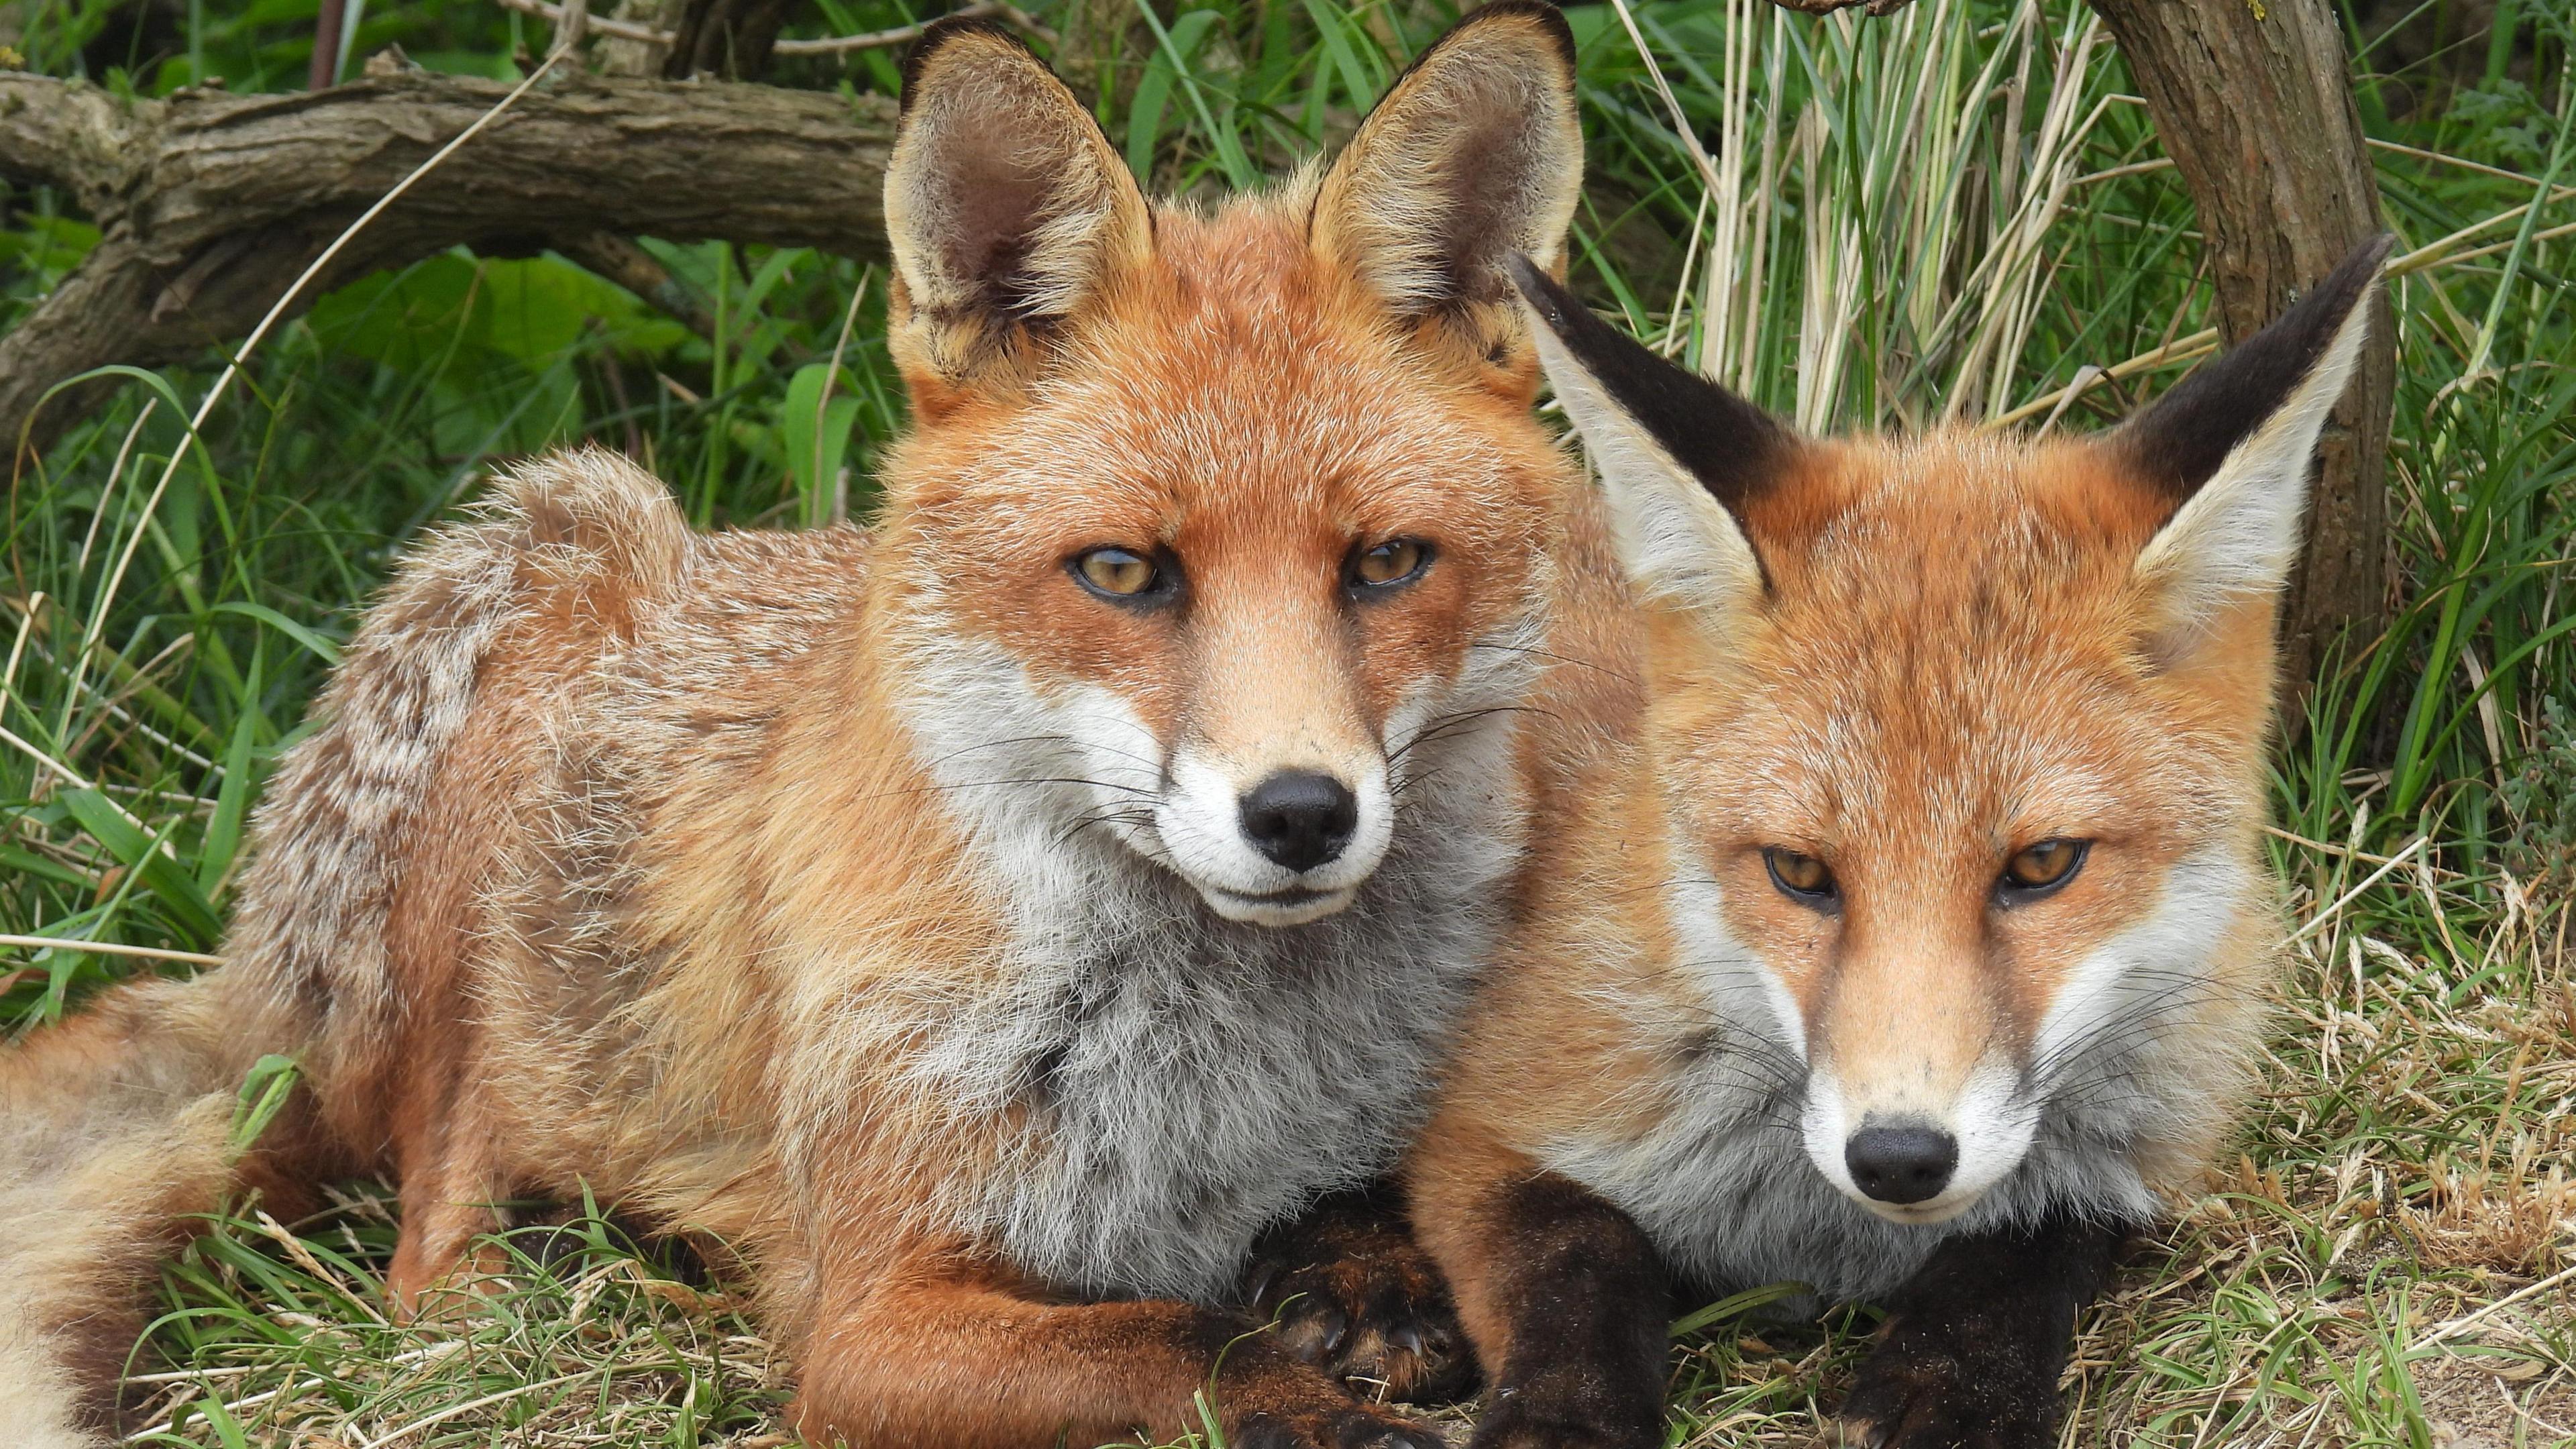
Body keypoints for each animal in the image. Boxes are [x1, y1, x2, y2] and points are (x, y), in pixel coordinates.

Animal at [0, 5, 1607, 1433]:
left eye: (1386, 564)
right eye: (1122, 573)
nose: (1299, 815)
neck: (1229, 1057)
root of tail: (248, 968)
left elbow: (1349, 1233)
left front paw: (1360, 1287)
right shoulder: (874, 1320)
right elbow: (1179, 1340)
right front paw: (1323, 1399)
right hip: (554, 572)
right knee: (430, 1233)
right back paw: (598, 1277)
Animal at [1262, 230, 2390, 1433]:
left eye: (2043, 864)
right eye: (1800, 871)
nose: (1897, 1157)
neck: (1814, 1236)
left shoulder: (2128, 1166)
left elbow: (2022, 1253)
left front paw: (1953, 1391)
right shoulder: (1487, 1123)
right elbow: (1581, 1256)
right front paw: (1566, 1417)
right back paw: (1357, 1283)